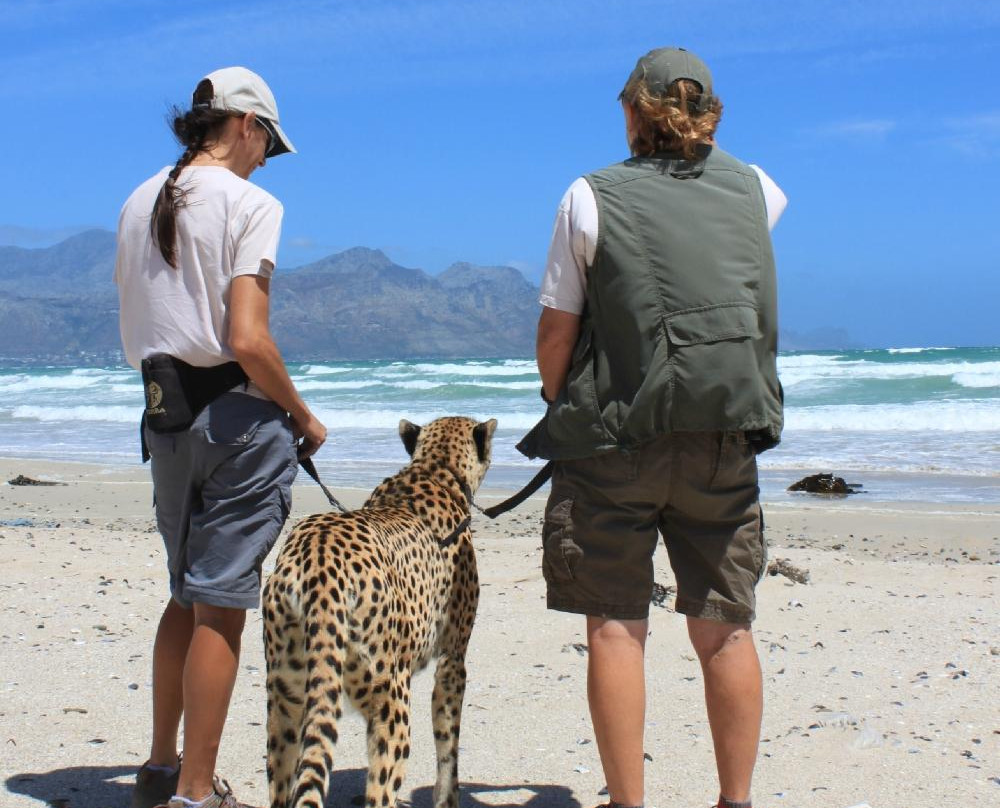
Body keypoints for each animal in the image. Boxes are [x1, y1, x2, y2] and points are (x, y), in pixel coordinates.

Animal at [262, 416, 497, 808]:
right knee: (380, 792)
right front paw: (447, 798)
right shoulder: (452, 662)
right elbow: (448, 748)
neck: (435, 469)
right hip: (391, 700)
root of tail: (319, 559)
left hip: (286, 699)